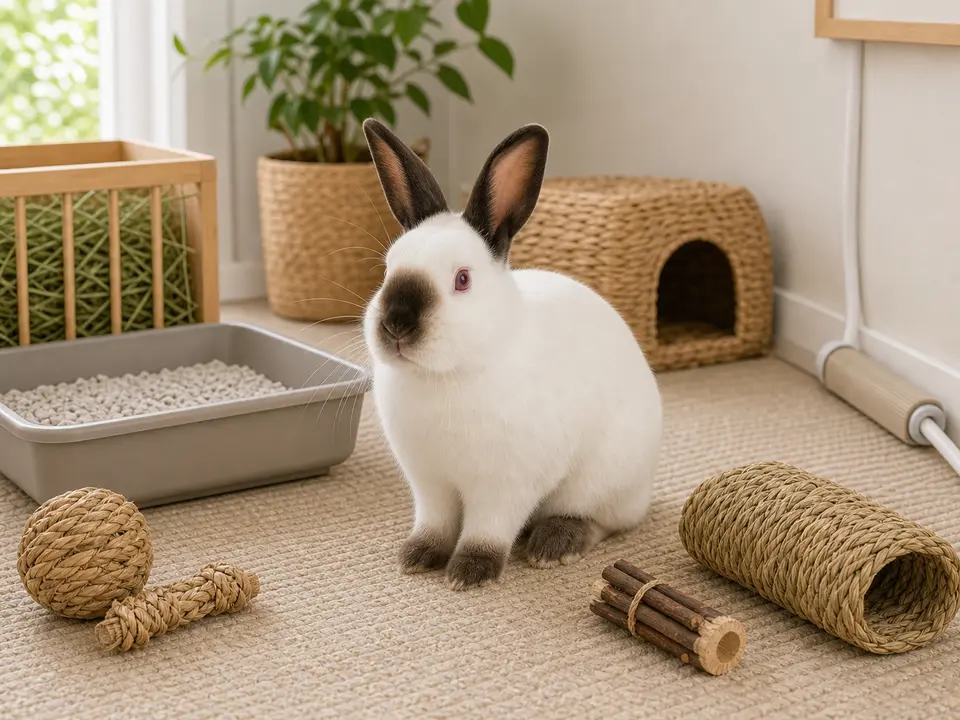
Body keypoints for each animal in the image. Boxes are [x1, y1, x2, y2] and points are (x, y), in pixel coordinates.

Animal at [360, 118, 663, 591]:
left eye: (462, 279)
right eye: (388, 268)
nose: (396, 326)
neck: (448, 373)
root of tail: (646, 489)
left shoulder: (505, 486)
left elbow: (488, 530)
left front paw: (469, 572)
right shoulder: (430, 484)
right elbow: (435, 523)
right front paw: (416, 556)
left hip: (599, 483)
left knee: (603, 521)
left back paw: (553, 546)